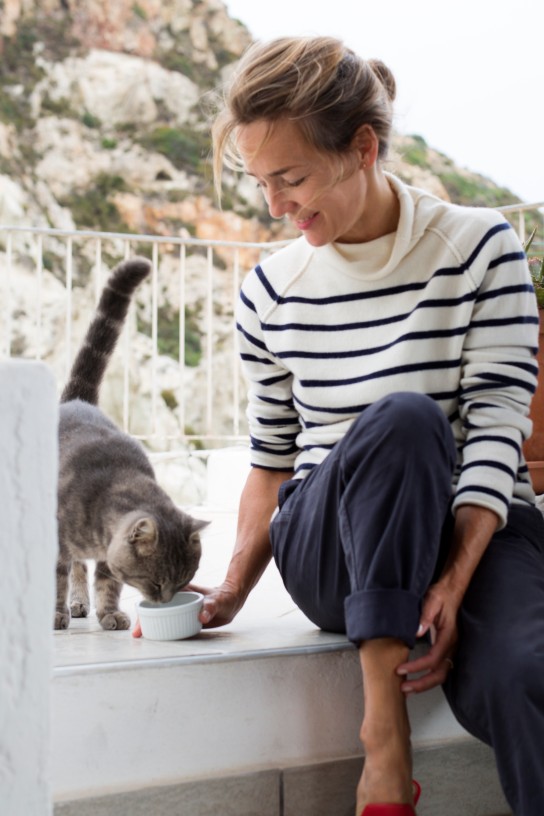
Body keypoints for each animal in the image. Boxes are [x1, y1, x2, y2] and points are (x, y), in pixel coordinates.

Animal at [56, 258, 207, 628]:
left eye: (184, 580)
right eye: (156, 581)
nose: (165, 601)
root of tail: (77, 400)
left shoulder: (108, 554)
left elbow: (107, 581)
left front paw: (109, 613)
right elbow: (57, 577)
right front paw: (56, 614)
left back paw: (81, 602)